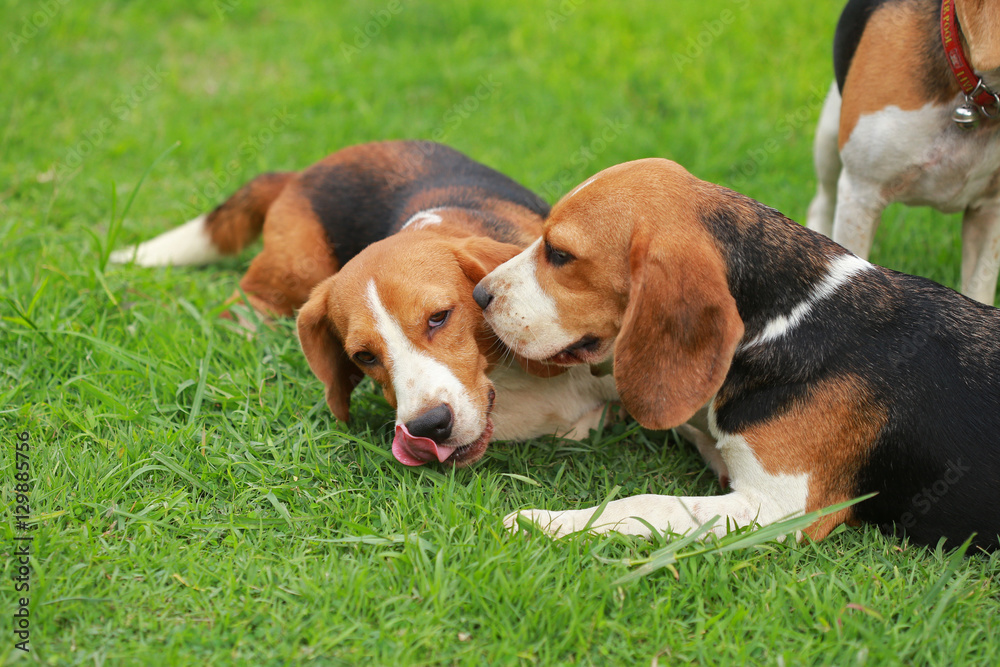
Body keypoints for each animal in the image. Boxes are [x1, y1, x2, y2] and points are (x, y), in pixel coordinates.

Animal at [478, 158, 1000, 552]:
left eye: (560, 254)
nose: (481, 295)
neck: (787, 321)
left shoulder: (776, 509)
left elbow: (647, 502)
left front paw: (544, 521)